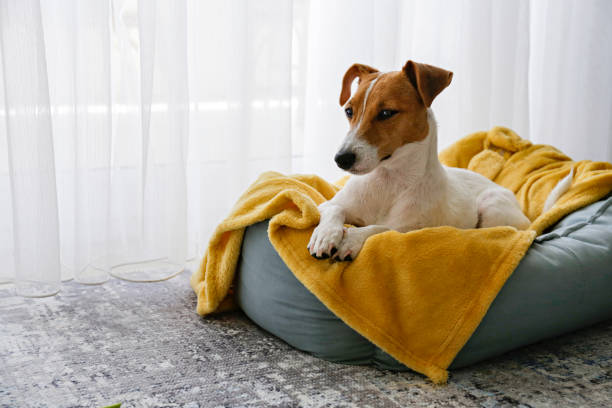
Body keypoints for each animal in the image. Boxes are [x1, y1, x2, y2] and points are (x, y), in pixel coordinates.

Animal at [308, 60, 544, 262]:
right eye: (349, 111)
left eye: (386, 113)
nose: (341, 159)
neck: (388, 181)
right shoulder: (326, 204)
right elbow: (334, 209)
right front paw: (325, 235)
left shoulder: (411, 231)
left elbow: (379, 228)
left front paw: (352, 239)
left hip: (492, 206)